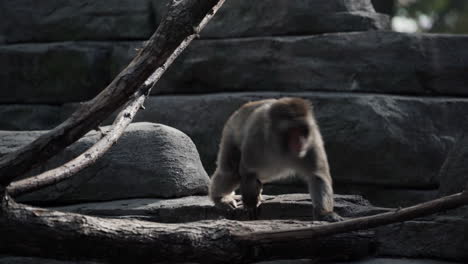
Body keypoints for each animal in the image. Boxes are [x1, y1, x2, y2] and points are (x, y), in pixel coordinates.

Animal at [210, 97, 342, 221]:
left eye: (303, 130)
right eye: (293, 131)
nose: (301, 142)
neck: (281, 147)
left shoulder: (312, 140)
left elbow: (317, 176)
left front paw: (326, 214)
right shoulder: (255, 136)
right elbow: (248, 172)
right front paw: (251, 204)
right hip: (230, 131)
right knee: (231, 172)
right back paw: (221, 198)